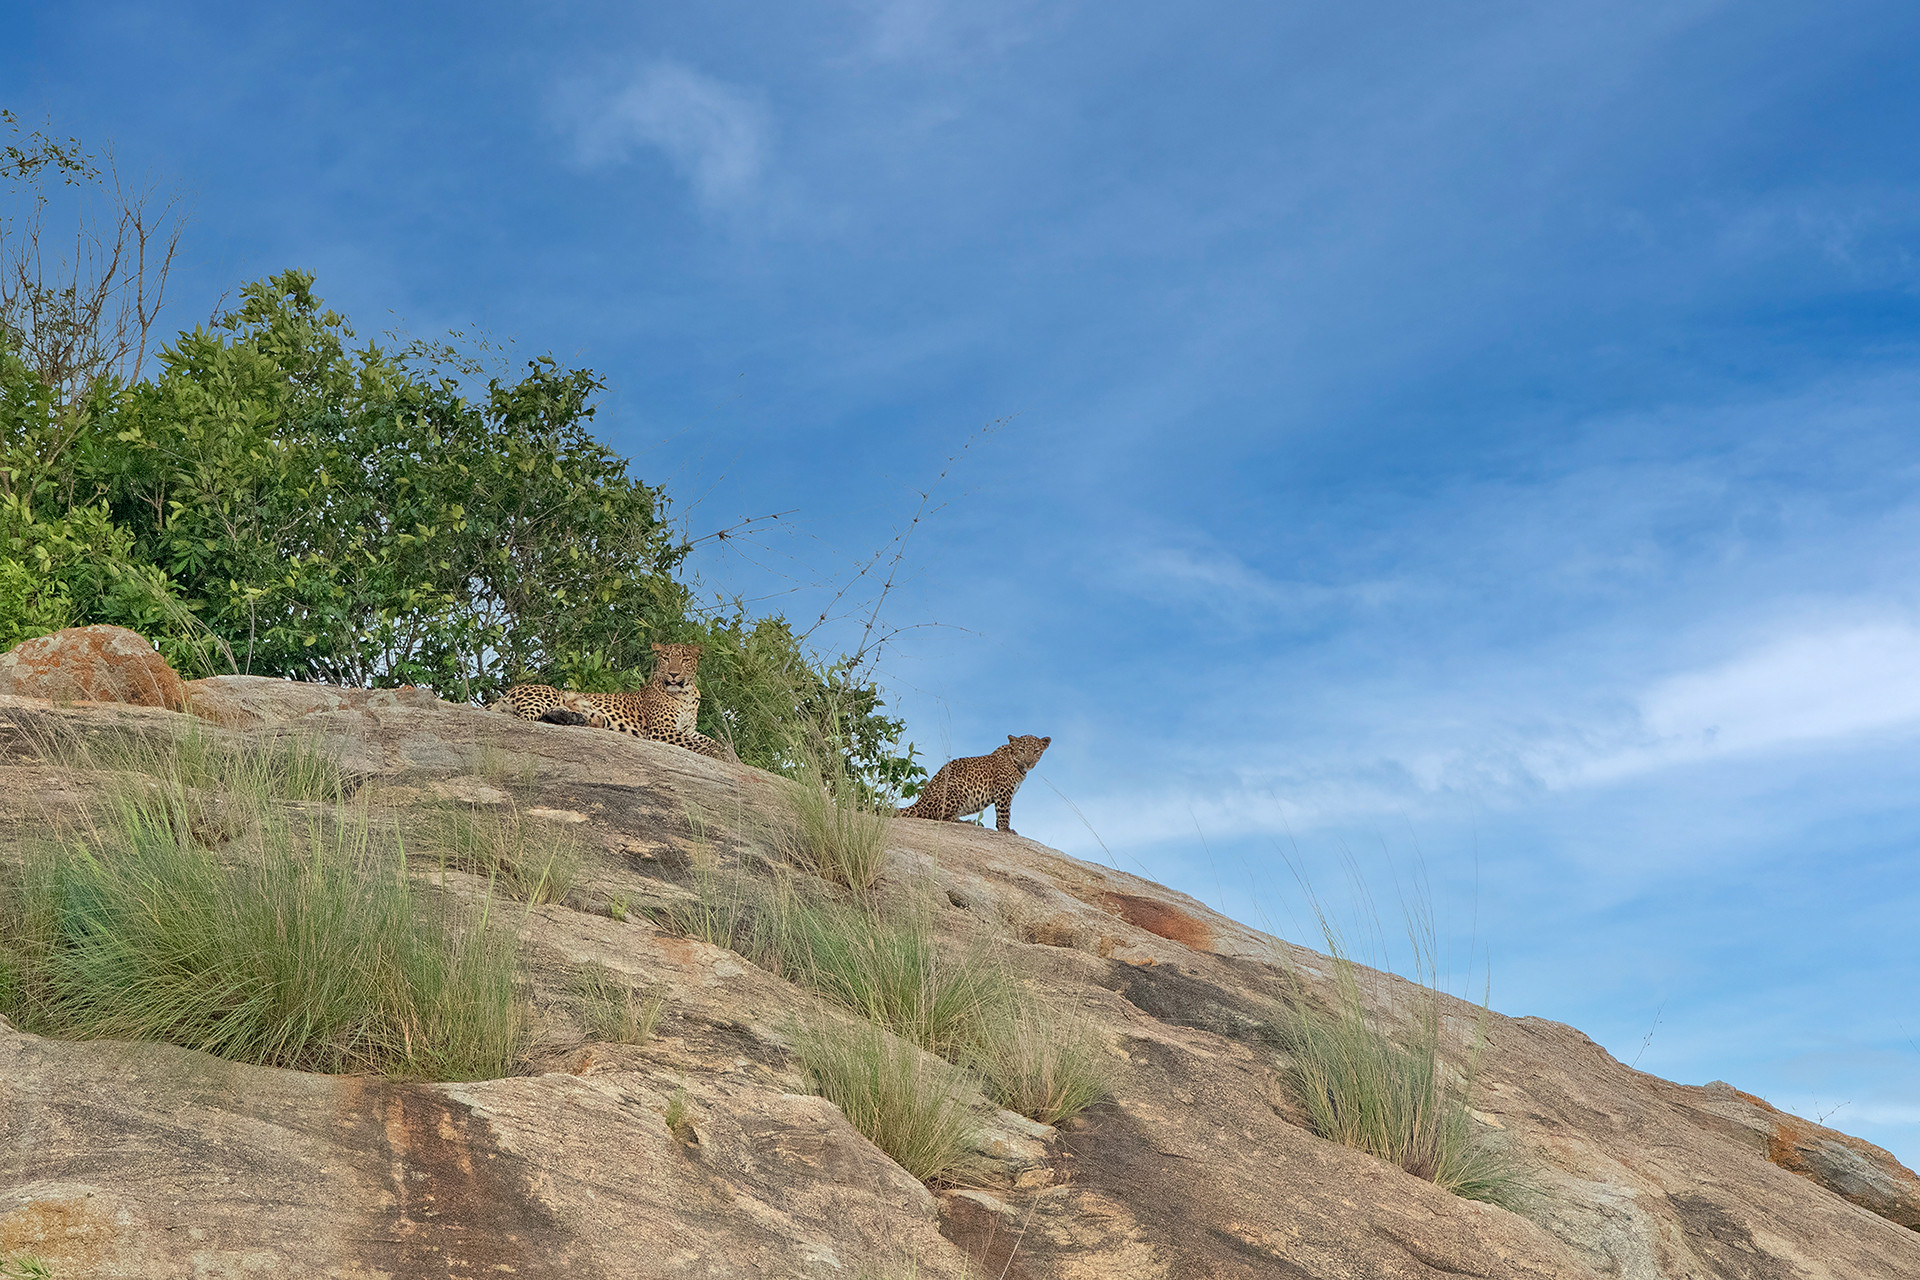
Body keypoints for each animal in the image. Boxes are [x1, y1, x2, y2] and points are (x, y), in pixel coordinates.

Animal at [897, 734, 1051, 834]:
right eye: (1022, 750)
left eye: (1036, 751)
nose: (1029, 762)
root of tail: (920, 801)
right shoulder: (1003, 790)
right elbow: (1004, 811)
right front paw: (1005, 829)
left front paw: (999, 827)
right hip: (958, 788)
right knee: (940, 817)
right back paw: (964, 822)